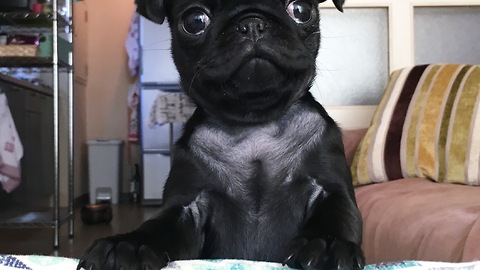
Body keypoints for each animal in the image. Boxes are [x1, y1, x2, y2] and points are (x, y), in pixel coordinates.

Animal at [78, 0, 364, 268]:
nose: (252, 23)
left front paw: (327, 245)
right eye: (195, 20)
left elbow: (337, 215)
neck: (254, 125)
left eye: (301, 10)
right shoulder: (186, 205)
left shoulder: (329, 188)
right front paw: (129, 244)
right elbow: (158, 225)